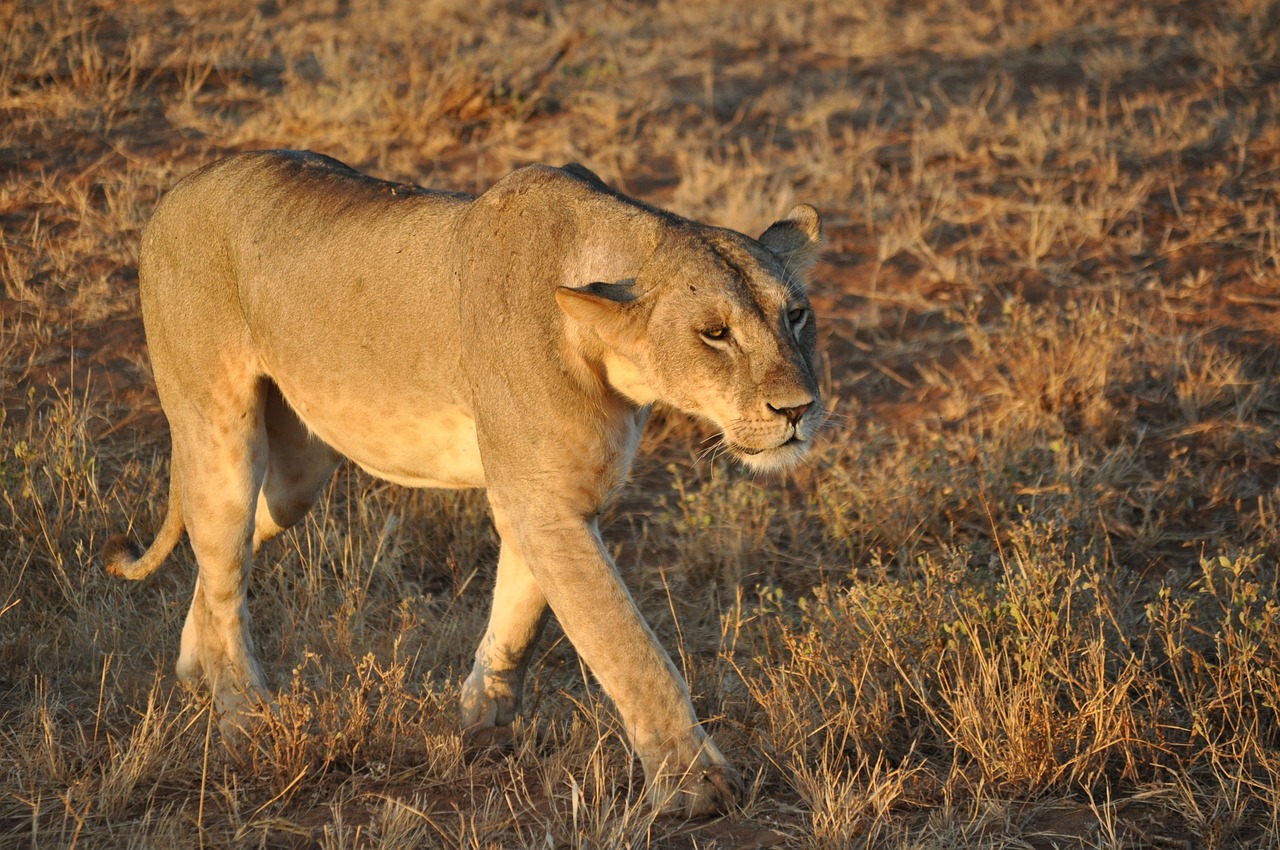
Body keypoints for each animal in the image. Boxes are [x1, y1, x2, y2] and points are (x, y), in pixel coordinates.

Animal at [104, 150, 824, 817]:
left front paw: (484, 720)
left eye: (795, 315)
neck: (614, 358)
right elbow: (628, 647)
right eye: (715, 333)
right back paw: (245, 718)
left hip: (296, 475)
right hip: (218, 431)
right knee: (225, 567)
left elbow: (522, 613)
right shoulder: (543, 501)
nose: (798, 408)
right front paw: (695, 784)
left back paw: (194, 667)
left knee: (228, 548)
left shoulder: (554, 494)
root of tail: (180, 188)